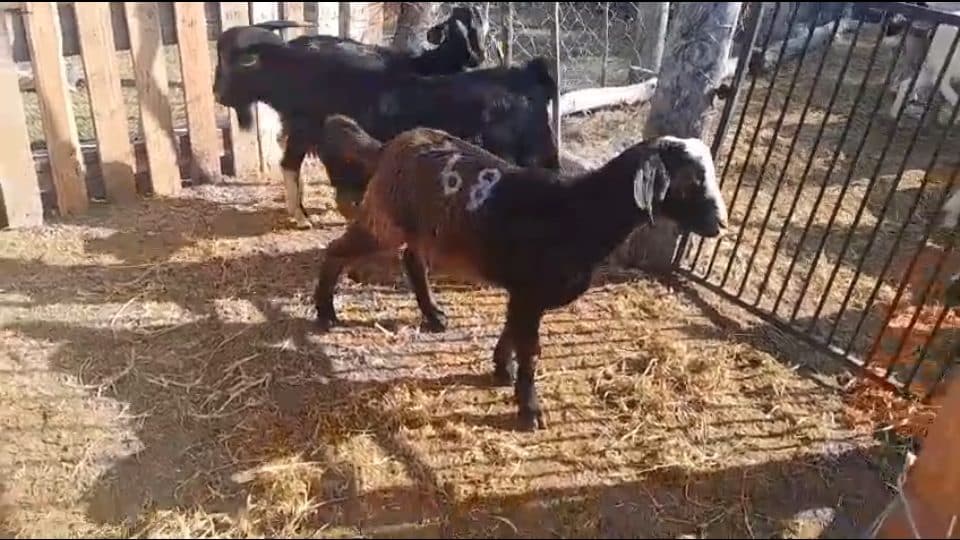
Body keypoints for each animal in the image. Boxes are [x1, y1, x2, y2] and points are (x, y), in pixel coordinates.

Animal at [314, 115, 728, 432]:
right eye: (691, 181)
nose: (721, 224)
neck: (579, 213)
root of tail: (389, 146)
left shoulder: (524, 293)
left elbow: (511, 333)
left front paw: (501, 371)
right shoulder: (529, 292)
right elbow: (530, 351)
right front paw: (530, 410)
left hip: (423, 229)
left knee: (412, 261)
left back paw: (433, 316)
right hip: (385, 219)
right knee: (336, 250)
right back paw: (325, 313)